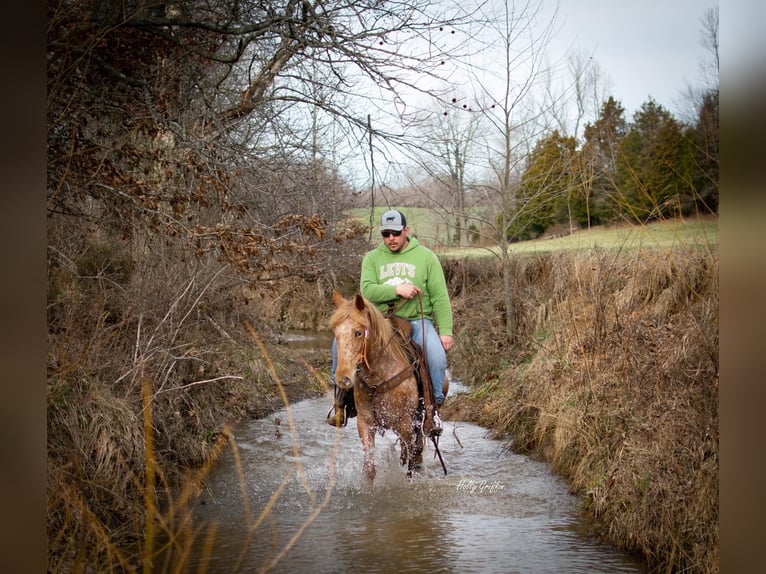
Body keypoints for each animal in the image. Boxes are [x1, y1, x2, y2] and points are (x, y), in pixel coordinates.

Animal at [330, 292, 432, 486]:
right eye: (336, 334)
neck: (379, 377)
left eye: (358, 333)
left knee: (416, 452)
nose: (343, 379)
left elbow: (405, 463)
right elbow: (370, 468)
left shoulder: (405, 424)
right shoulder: (365, 423)